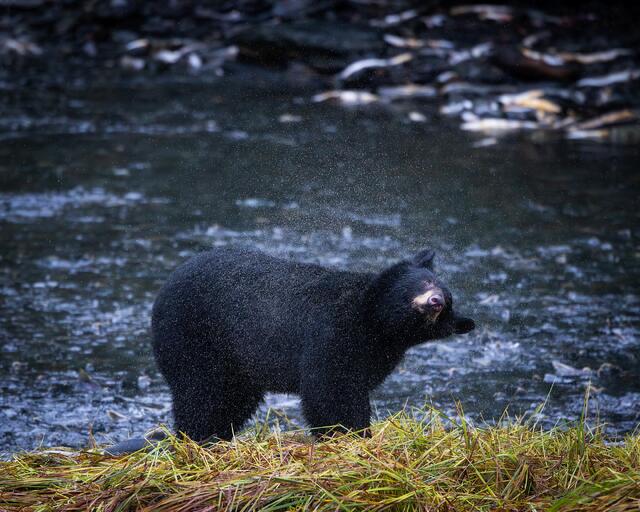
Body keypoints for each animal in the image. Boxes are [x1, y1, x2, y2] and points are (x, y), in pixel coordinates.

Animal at [151, 247, 475, 441]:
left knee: (230, 401)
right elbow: (329, 388)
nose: (436, 301)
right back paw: (197, 438)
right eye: (427, 283)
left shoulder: (370, 353)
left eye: (446, 306)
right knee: (200, 393)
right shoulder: (333, 331)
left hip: (235, 364)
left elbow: (349, 386)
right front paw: (347, 433)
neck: (375, 322)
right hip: (194, 337)